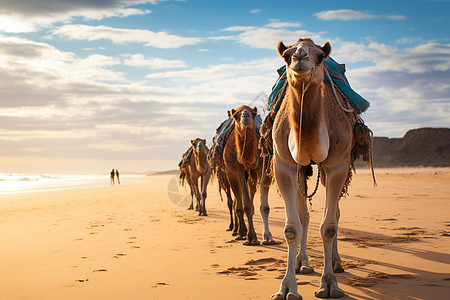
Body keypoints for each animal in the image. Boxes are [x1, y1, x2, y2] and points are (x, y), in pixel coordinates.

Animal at [268, 38, 374, 300]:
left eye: (319, 57)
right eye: (286, 56)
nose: (300, 57)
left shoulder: (337, 165)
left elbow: (329, 227)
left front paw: (329, 284)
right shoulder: (284, 165)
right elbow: (292, 227)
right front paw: (287, 288)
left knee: (335, 213)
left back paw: (336, 262)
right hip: (301, 170)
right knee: (304, 215)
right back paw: (302, 263)